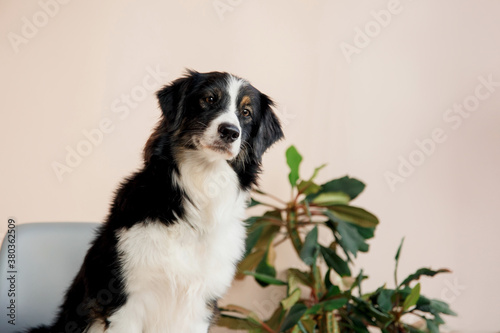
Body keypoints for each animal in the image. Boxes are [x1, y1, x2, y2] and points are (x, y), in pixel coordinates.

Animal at [26, 70, 282, 332]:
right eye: (209, 99)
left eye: (246, 113)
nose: (230, 131)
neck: (201, 186)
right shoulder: (124, 298)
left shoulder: (200, 306)